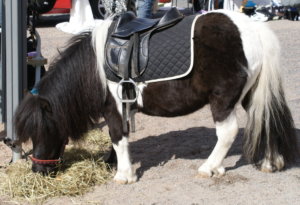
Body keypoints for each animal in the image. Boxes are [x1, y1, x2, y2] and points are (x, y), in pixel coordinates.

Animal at [14, 9, 298, 183]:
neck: (94, 67)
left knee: (227, 133)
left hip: (222, 100)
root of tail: (253, 30)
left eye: (41, 130)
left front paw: (124, 175)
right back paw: (270, 162)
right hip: (252, 95)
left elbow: (118, 138)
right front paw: (113, 163)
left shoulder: (113, 108)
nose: (38, 169)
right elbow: (120, 139)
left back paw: (208, 167)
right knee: (267, 120)